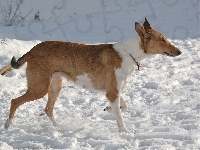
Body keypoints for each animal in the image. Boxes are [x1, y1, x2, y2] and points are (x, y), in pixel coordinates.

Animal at [3, 18, 181, 132]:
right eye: (162, 40)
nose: (179, 51)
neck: (129, 54)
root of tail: (33, 49)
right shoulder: (112, 93)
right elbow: (120, 118)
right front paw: (126, 134)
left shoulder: (114, 91)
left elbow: (123, 106)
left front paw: (107, 109)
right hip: (40, 88)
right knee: (14, 101)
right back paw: (7, 125)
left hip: (55, 86)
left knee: (48, 109)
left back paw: (60, 128)